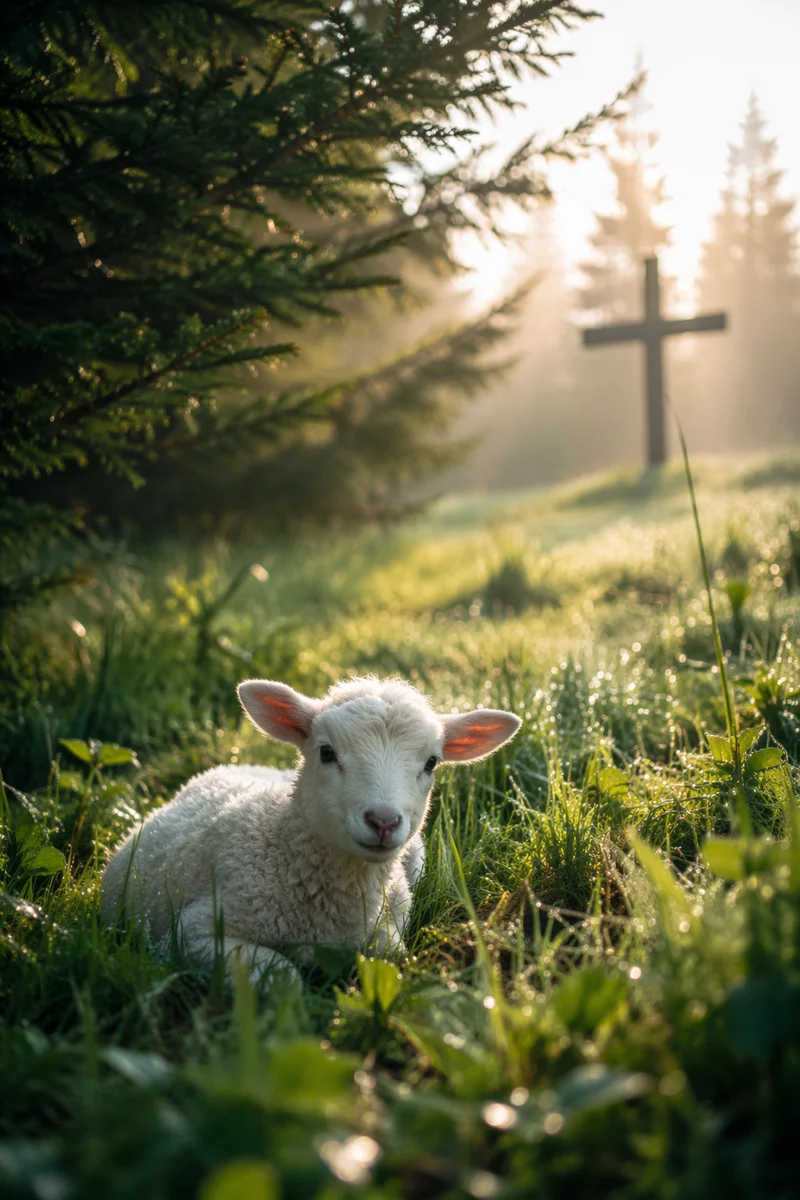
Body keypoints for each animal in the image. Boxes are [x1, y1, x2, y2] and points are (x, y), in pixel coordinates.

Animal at [101, 676, 521, 983]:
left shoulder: (390, 918)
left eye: (432, 762)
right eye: (326, 752)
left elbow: (393, 956)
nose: (383, 822)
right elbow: (283, 976)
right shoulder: (193, 932)